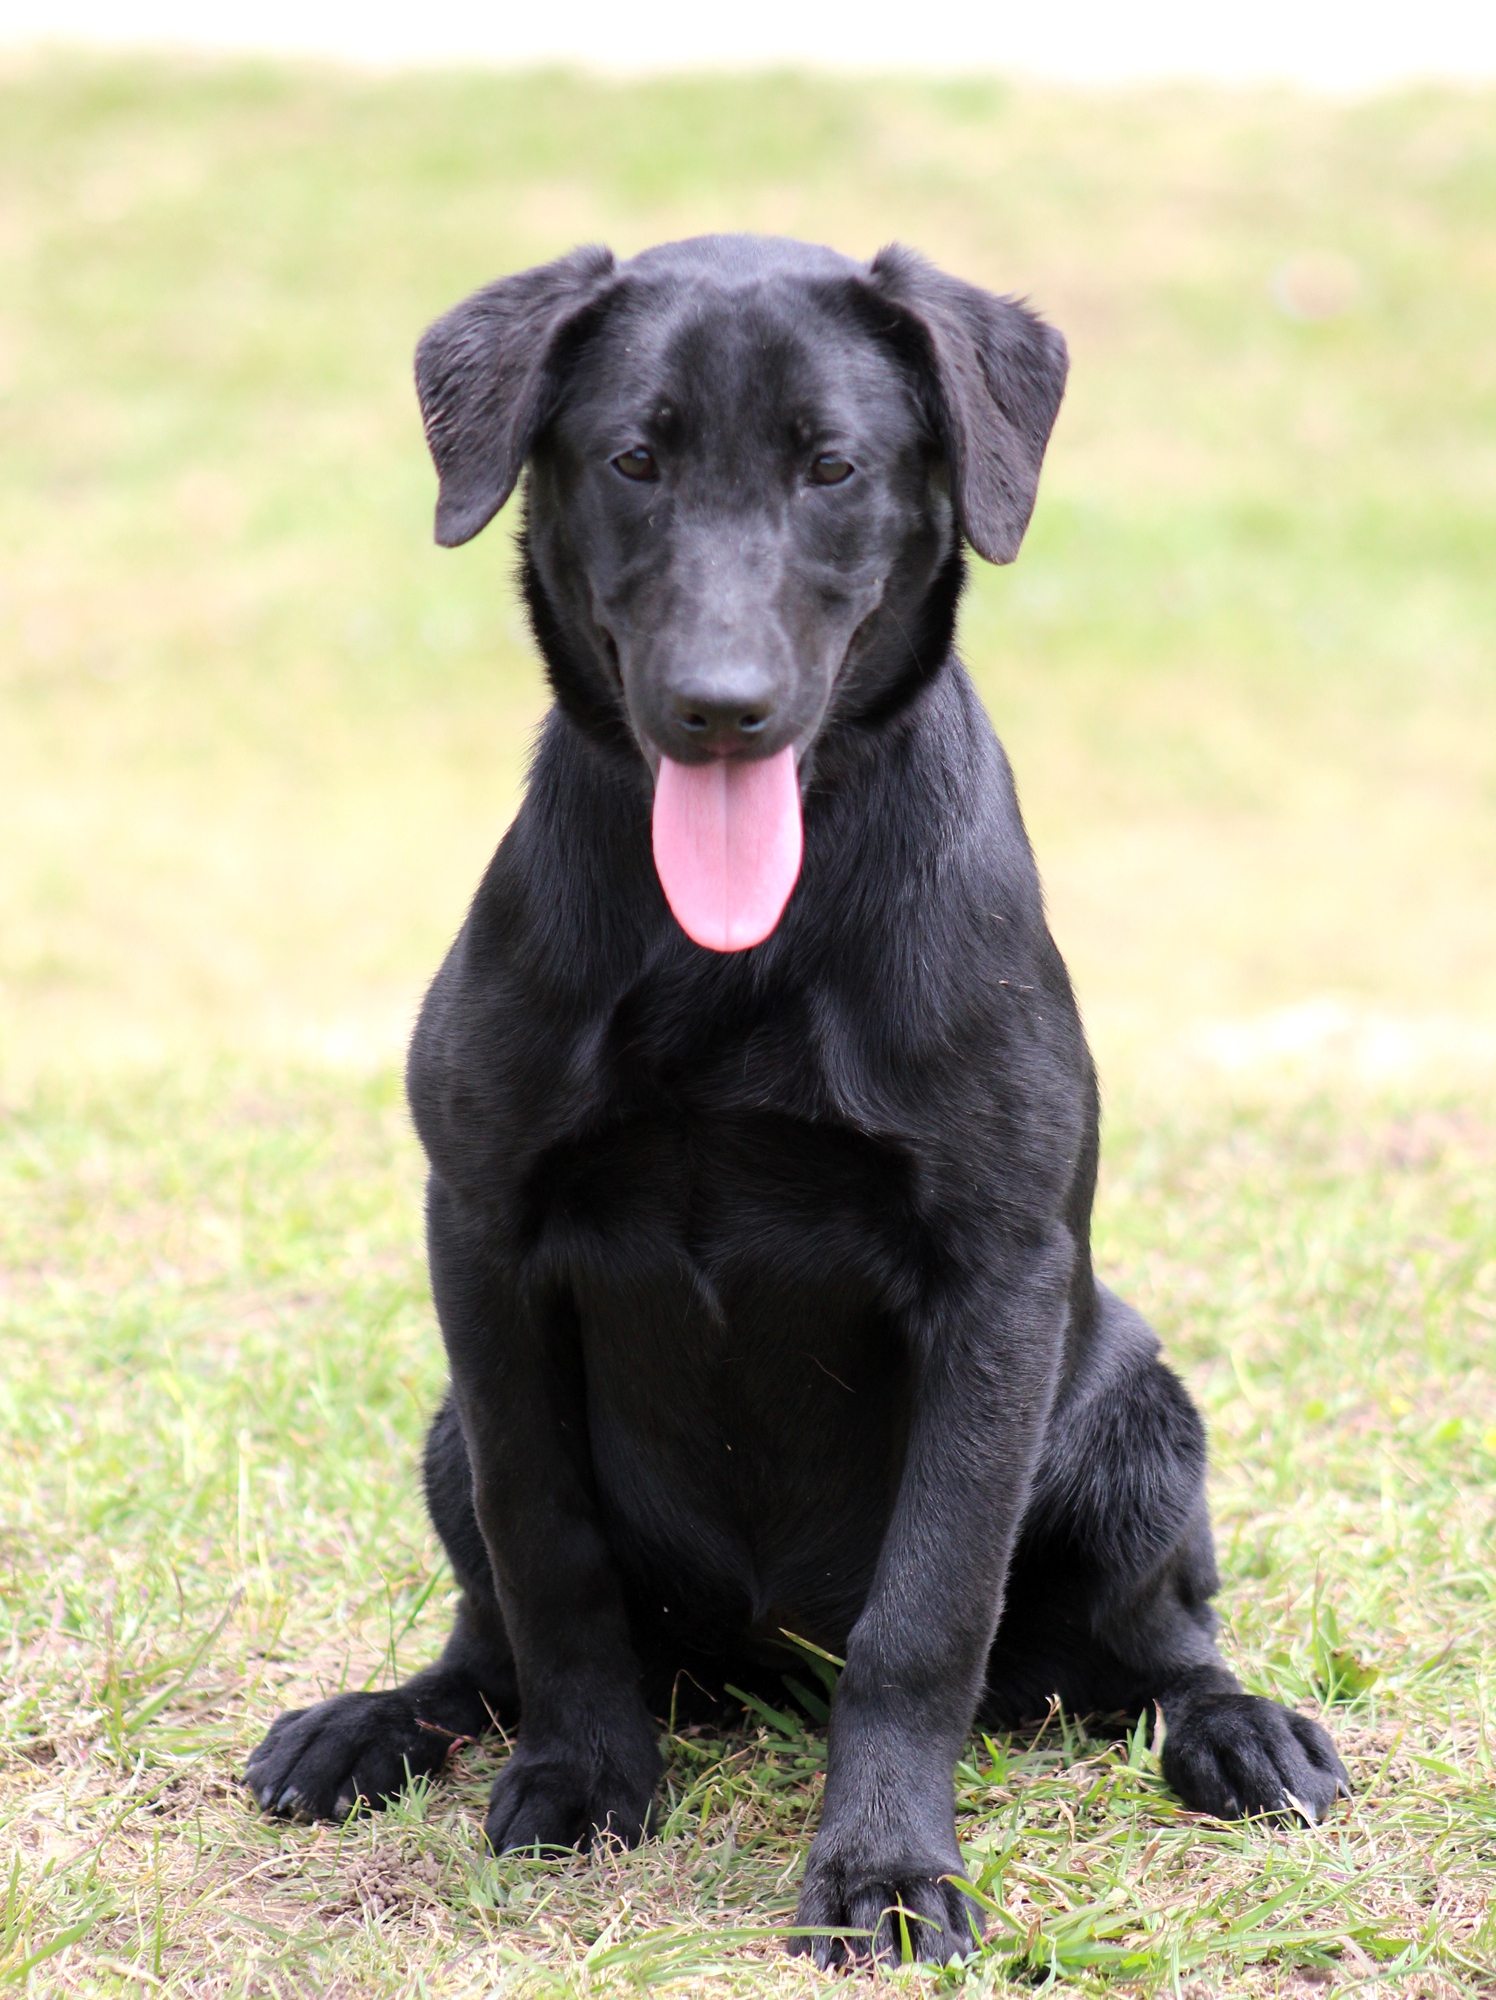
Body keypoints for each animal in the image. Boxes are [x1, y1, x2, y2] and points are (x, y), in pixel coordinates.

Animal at [246, 234, 1348, 1966]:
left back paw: (1240, 1735)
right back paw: (377, 1725)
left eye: (833, 467)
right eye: (634, 460)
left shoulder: (996, 1281)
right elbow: (549, 1553)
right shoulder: (481, 1239)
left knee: (1163, 1646)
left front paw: (885, 1866)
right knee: (487, 1632)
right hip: (446, 1426)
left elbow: (926, 1617)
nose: (721, 706)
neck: (741, 956)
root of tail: (757, 1672)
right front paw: (583, 1775)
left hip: (1135, 1424)